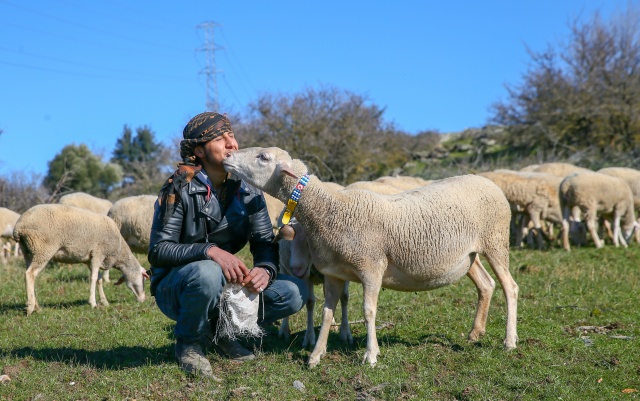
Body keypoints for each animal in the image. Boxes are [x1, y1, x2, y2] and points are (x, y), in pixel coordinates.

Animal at [13, 205, 148, 314]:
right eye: (143, 279)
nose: (143, 299)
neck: (119, 251)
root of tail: (19, 226)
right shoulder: (98, 253)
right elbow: (94, 278)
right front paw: (93, 302)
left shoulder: (90, 259)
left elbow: (99, 279)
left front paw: (104, 301)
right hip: (43, 249)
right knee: (30, 274)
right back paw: (31, 307)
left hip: (28, 251)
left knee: (30, 275)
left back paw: (36, 306)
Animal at [222, 146, 516, 366]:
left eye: (263, 157)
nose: (226, 156)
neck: (331, 209)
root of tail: (486, 181)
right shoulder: (333, 274)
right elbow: (327, 312)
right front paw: (316, 355)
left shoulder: (372, 268)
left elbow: (368, 311)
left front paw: (370, 355)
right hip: (469, 256)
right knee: (486, 285)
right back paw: (475, 333)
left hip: (496, 241)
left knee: (509, 287)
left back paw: (509, 341)